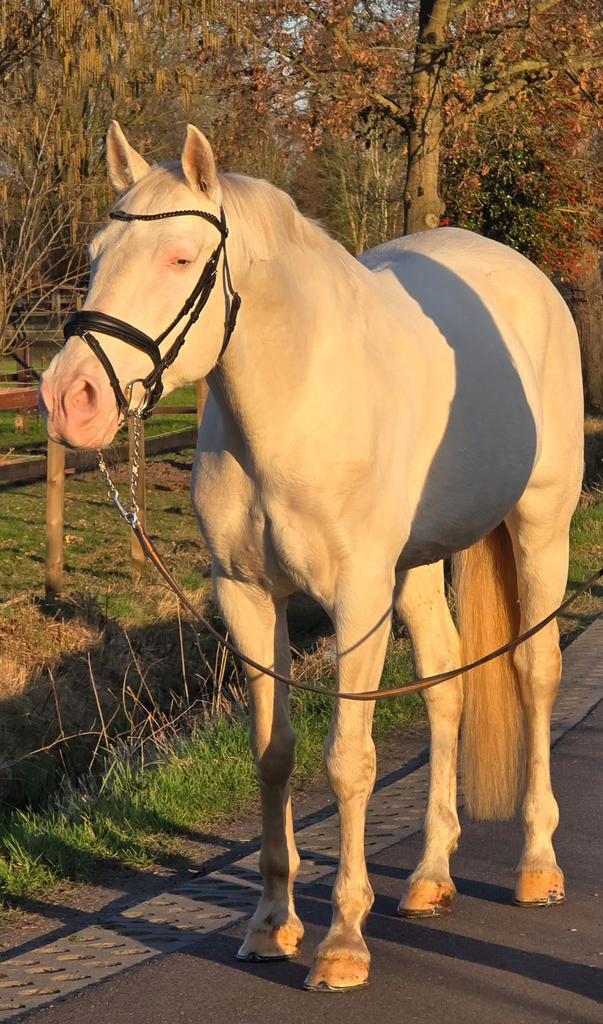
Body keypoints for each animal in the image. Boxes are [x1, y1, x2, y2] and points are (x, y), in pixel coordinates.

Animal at [40, 121, 584, 992]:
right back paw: (429, 875)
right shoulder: (246, 595)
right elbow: (273, 755)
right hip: (417, 566)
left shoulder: (356, 599)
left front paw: (341, 942)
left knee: (534, 674)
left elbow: (347, 762)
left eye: (181, 259)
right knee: (445, 684)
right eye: (95, 252)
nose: (70, 398)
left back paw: (536, 864)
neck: (294, 404)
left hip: (539, 528)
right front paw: (270, 924)